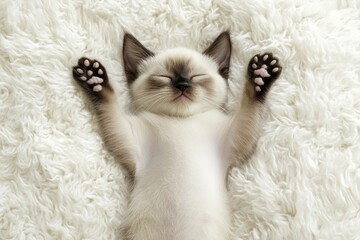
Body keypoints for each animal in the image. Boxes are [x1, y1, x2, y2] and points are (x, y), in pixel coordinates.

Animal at [72, 31, 282, 240]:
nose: (183, 85)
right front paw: (93, 78)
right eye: (163, 77)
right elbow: (109, 104)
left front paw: (261, 73)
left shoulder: (232, 140)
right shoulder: (131, 140)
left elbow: (249, 104)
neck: (181, 120)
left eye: (197, 76)